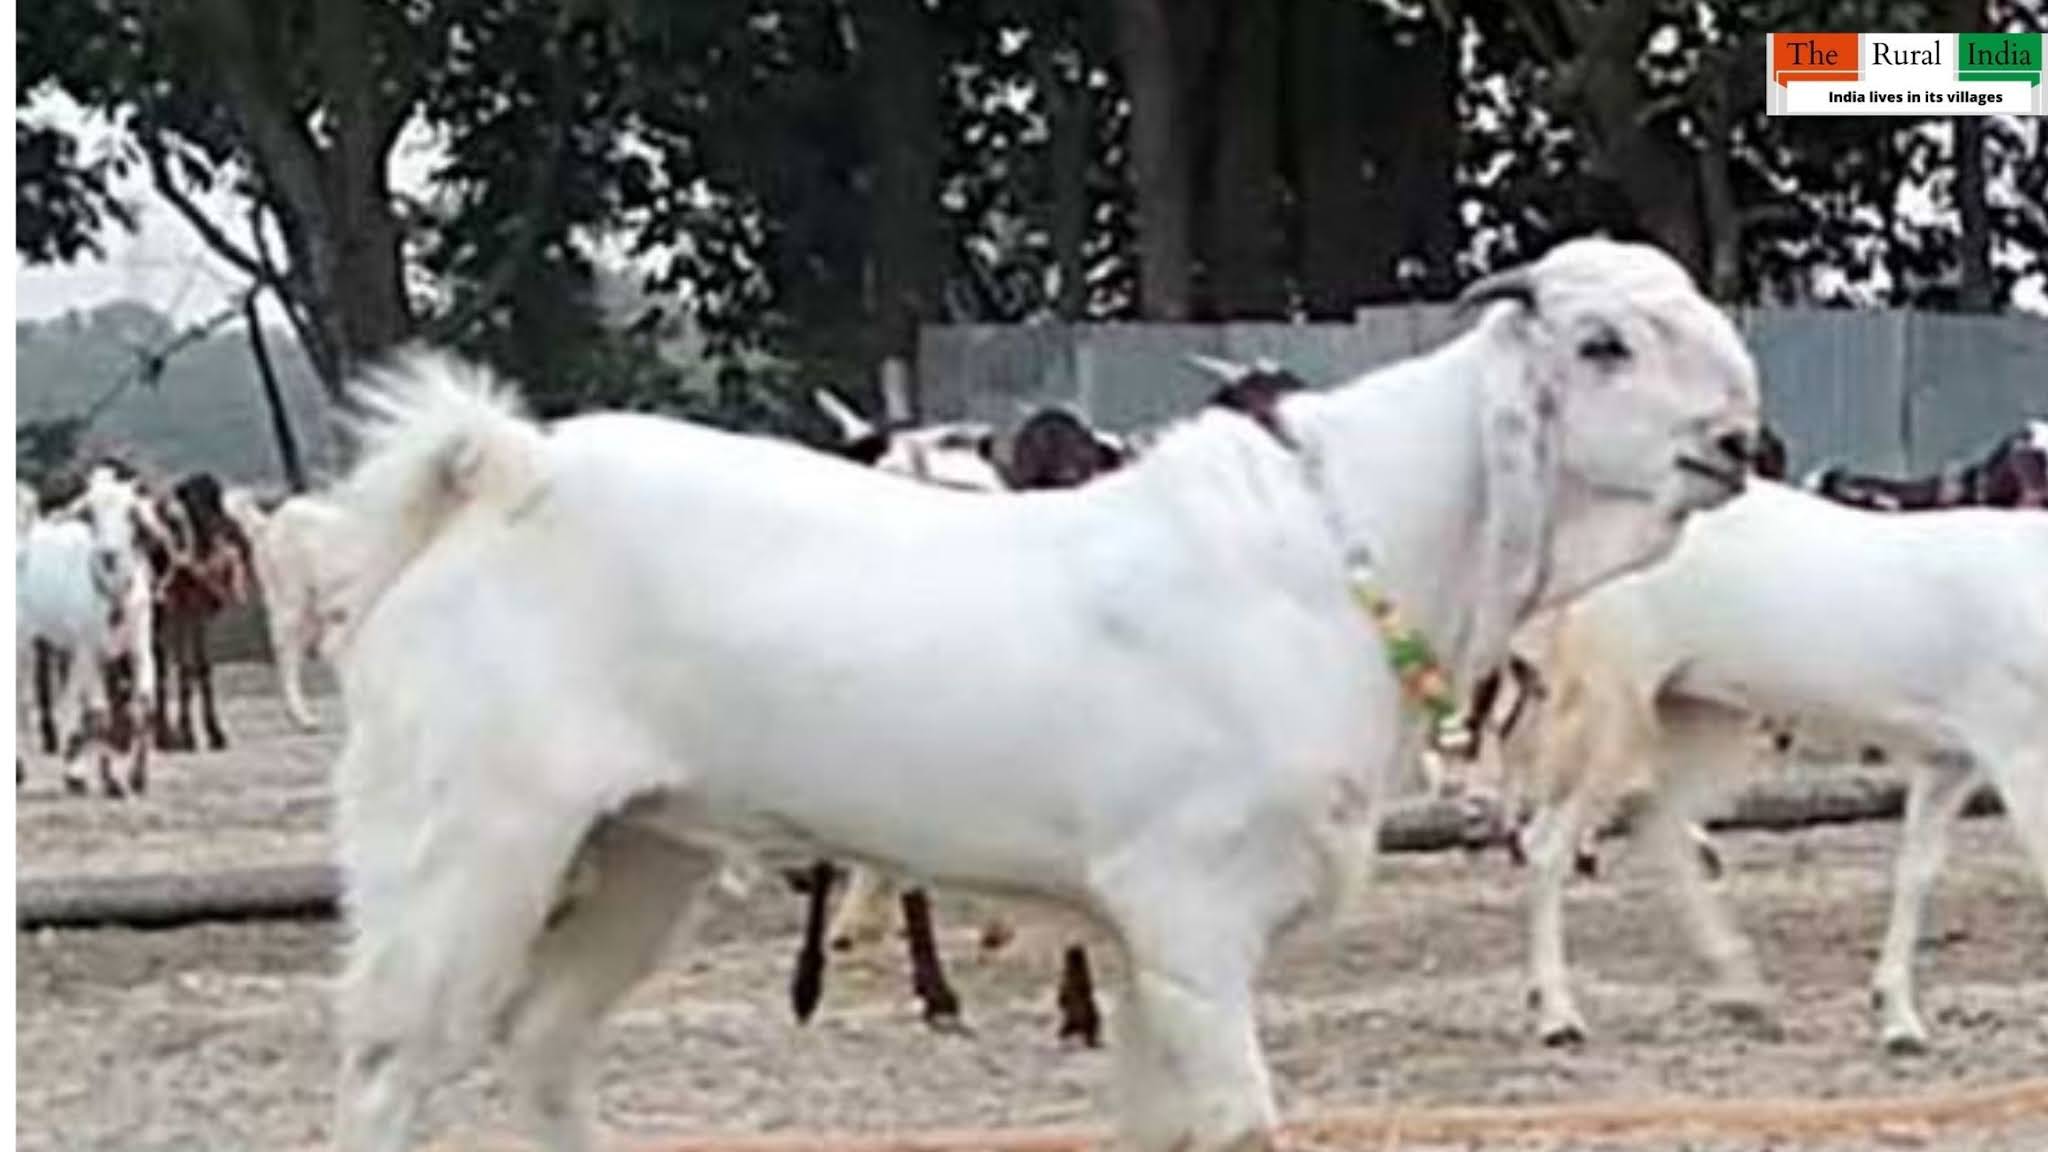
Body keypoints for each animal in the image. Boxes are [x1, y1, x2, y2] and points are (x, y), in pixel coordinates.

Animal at [324, 237, 1757, 1152]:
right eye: (1600, 342)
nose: (1743, 441)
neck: (1335, 551)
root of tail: (499, 472)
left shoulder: (1135, 941)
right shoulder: (1189, 910)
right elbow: (1237, 1126)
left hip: (642, 847)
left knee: (542, 1044)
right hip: (468, 841)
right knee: (392, 1067)